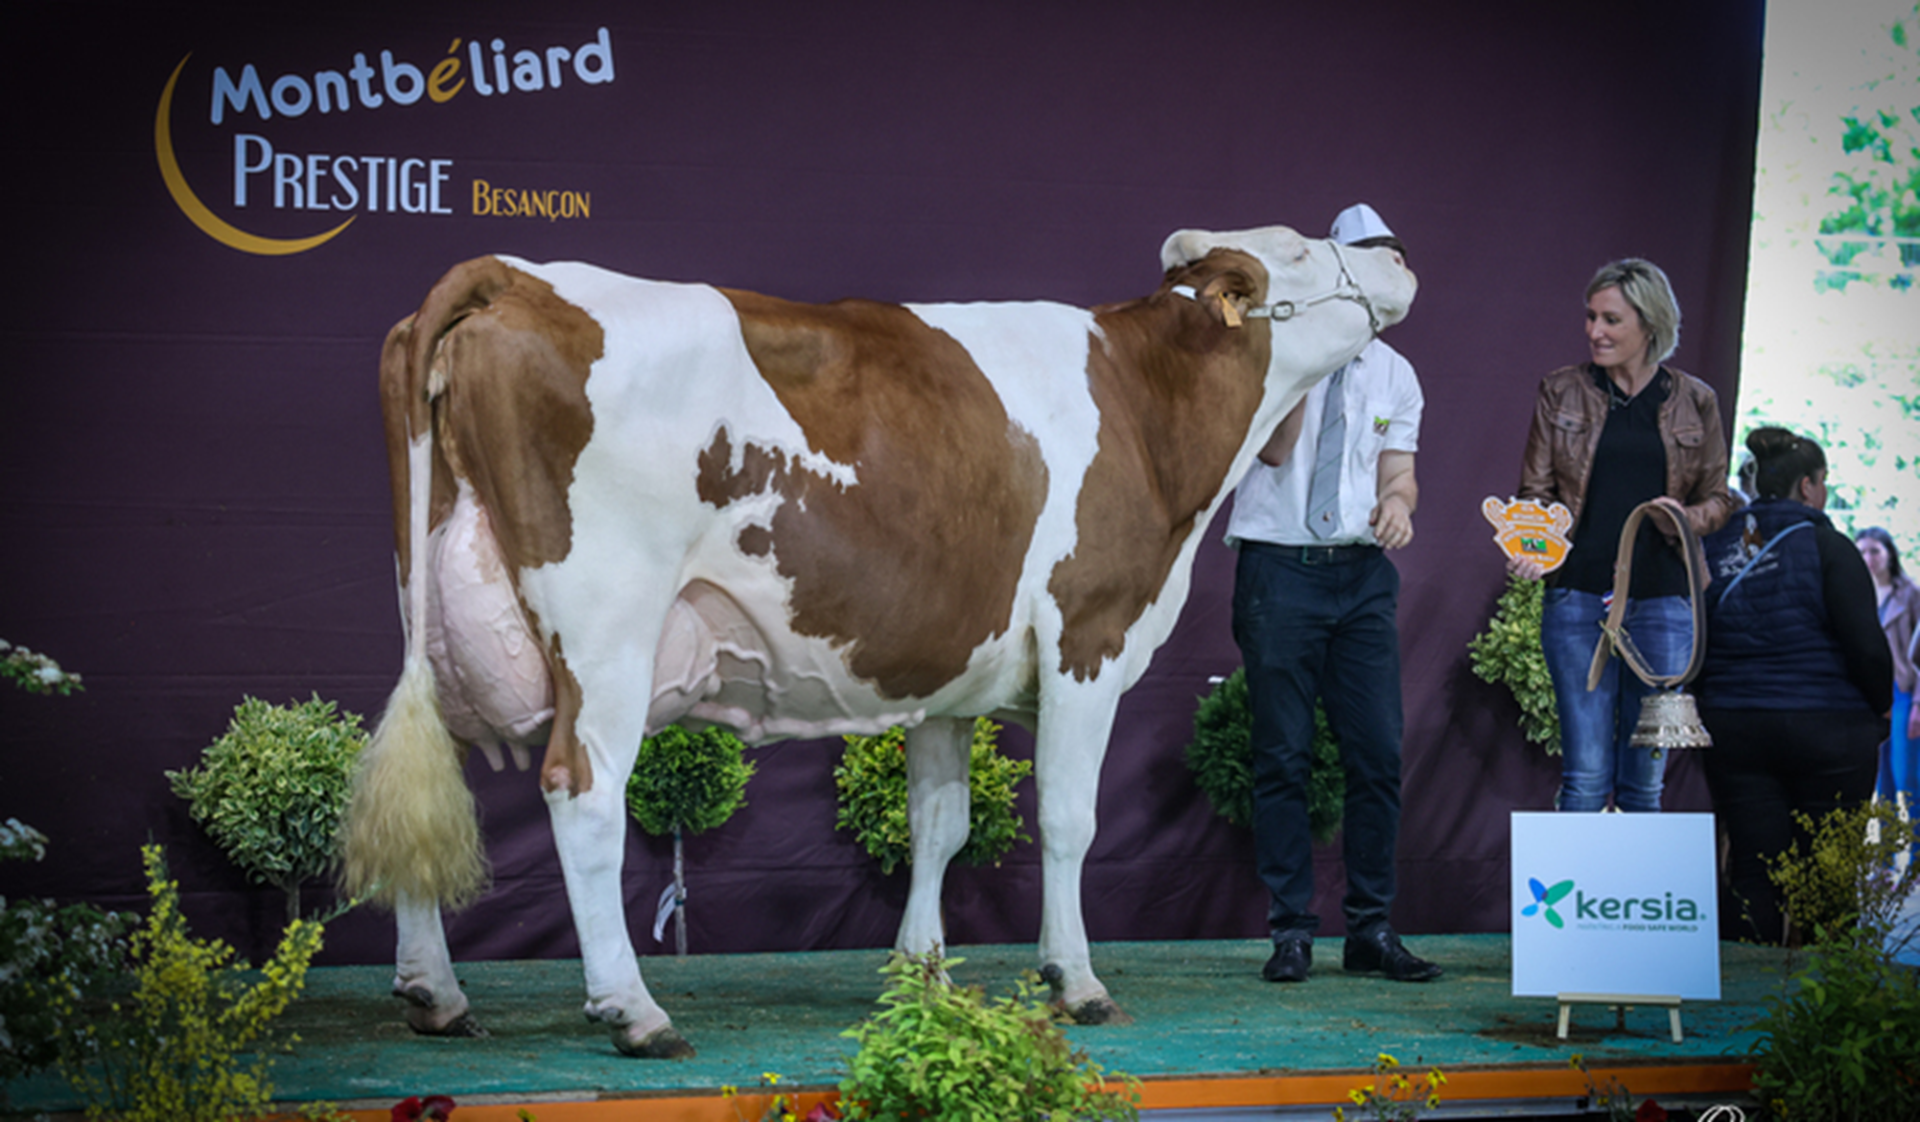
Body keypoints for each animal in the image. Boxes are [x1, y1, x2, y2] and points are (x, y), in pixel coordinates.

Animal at [341, 223, 1413, 1052]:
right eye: (1301, 251)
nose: (1394, 250)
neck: (1150, 414)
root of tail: (515, 274)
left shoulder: (947, 671)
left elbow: (940, 821)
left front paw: (921, 967)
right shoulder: (1089, 635)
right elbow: (1070, 822)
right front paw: (1075, 979)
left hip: (429, 613)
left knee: (417, 784)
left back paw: (435, 993)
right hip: (605, 623)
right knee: (583, 792)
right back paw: (633, 1009)